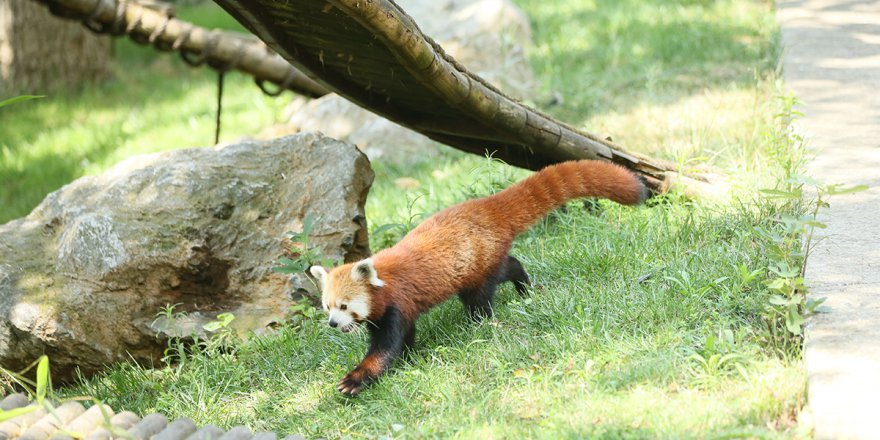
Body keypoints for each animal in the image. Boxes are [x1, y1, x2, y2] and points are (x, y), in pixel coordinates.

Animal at [308, 160, 648, 398]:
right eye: (327, 308)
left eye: (344, 306)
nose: (333, 324)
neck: (383, 282)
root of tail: (486, 207)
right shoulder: (394, 311)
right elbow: (403, 337)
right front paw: (407, 356)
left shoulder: (395, 304)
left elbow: (384, 349)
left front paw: (355, 379)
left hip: (478, 266)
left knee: (493, 283)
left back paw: (501, 303)